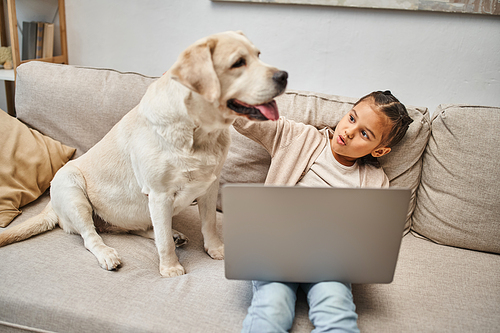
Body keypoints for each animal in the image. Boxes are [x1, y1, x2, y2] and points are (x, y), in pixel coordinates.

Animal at [0, 31, 288, 276]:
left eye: (258, 56)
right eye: (238, 63)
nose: (284, 75)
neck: (198, 132)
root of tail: (50, 206)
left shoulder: (210, 185)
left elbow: (208, 224)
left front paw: (216, 249)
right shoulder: (160, 195)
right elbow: (163, 242)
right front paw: (171, 269)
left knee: (140, 228)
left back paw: (173, 234)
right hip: (71, 186)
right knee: (92, 236)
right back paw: (108, 253)